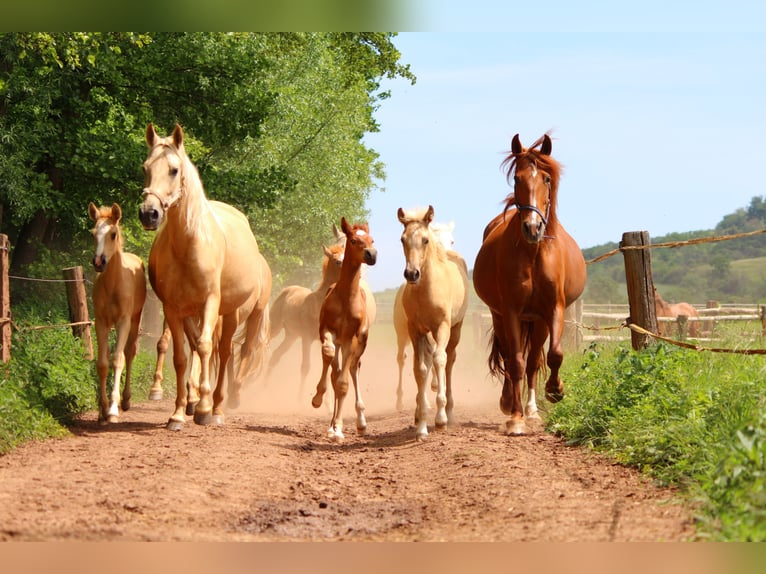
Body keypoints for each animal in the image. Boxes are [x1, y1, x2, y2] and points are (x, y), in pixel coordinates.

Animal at [88, 202, 147, 424]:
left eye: (113, 234)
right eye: (93, 233)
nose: (99, 261)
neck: (113, 285)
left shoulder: (123, 321)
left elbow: (118, 359)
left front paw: (113, 409)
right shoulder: (101, 322)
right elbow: (103, 363)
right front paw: (103, 409)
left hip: (135, 319)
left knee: (129, 353)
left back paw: (126, 400)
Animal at [139, 123, 271, 430]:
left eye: (174, 169)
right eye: (146, 167)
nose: (149, 214)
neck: (189, 245)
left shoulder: (210, 303)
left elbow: (205, 347)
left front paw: (203, 408)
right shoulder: (173, 308)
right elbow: (180, 355)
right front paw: (178, 413)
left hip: (234, 313)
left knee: (227, 353)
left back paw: (219, 406)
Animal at [311, 218, 377, 441]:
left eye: (372, 239)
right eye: (354, 240)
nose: (372, 255)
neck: (347, 298)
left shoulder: (352, 339)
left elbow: (343, 383)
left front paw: (339, 429)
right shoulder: (326, 331)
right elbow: (328, 356)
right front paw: (317, 398)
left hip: (360, 343)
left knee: (352, 370)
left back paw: (359, 422)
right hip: (339, 341)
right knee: (335, 369)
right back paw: (330, 423)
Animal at [472, 133, 587, 436]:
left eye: (546, 179)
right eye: (517, 178)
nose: (533, 228)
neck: (533, 252)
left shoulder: (554, 310)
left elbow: (554, 355)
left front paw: (556, 391)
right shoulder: (511, 311)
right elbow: (515, 362)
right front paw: (515, 417)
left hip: (538, 322)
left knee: (535, 361)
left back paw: (533, 410)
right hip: (500, 316)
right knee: (509, 357)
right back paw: (509, 402)